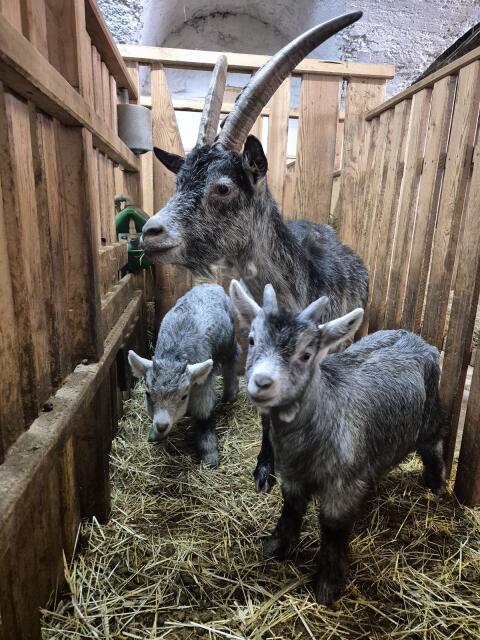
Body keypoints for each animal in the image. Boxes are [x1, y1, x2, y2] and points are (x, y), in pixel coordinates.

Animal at [128, 284, 240, 467]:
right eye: (147, 394)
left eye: (183, 396)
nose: (161, 425)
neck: (174, 356)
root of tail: (211, 285)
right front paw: (154, 434)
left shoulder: (202, 385)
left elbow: (203, 413)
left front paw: (209, 453)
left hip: (229, 340)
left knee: (232, 359)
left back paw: (231, 394)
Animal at [230, 280, 445, 604]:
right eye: (253, 340)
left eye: (307, 354)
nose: (262, 382)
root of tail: (419, 339)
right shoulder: (293, 477)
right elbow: (290, 509)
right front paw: (276, 548)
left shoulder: (342, 488)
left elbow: (333, 529)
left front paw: (327, 586)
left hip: (430, 416)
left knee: (435, 445)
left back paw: (436, 484)